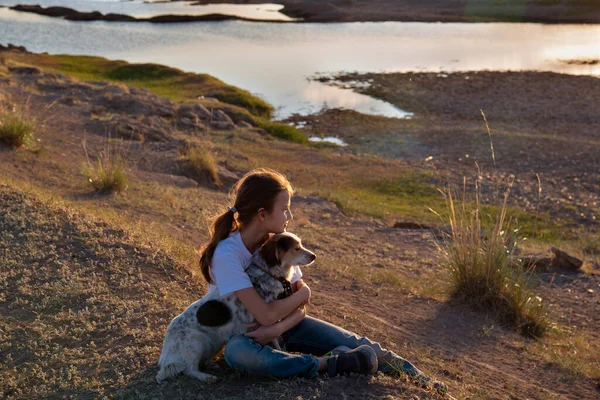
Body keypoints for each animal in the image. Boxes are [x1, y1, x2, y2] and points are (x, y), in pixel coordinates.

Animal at [155, 233, 316, 382]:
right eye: (297, 248)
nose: (314, 256)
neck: (268, 273)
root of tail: (165, 358)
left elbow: (277, 339)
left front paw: (283, 350)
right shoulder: (263, 320)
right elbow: (274, 338)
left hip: (213, 344)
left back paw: (211, 365)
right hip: (196, 341)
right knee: (190, 369)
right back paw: (207, 377)